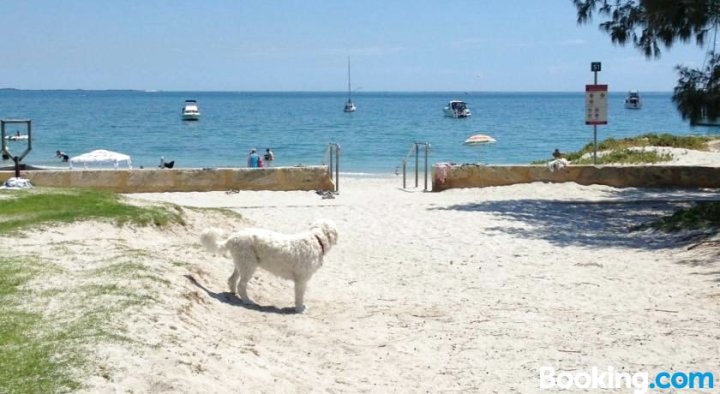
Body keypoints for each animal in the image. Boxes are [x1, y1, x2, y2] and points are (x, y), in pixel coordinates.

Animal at [200, 220, 338, 312]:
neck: (316, 239)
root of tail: (232, 237)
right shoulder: (301, 279)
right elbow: (299, 296)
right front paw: (299, 308)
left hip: (241, 263)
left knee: (232, 279)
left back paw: (233, 293)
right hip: (249, 265)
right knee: (241, 284)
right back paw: (247, 301)